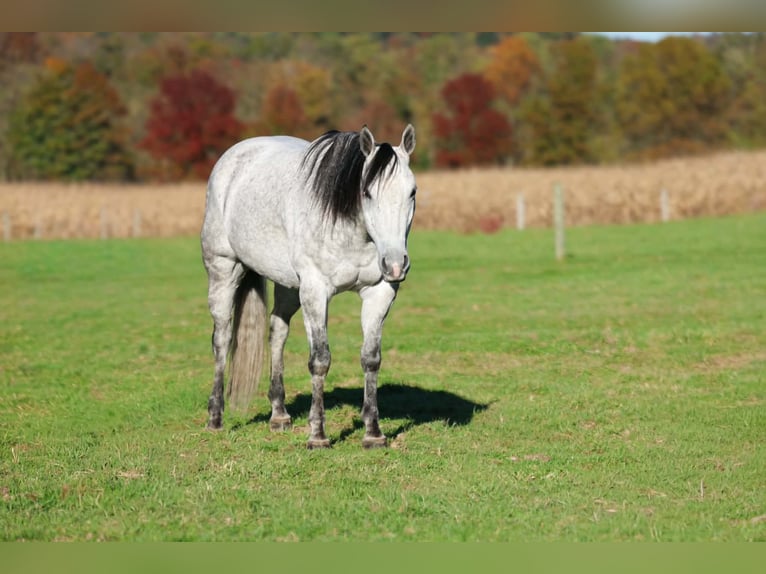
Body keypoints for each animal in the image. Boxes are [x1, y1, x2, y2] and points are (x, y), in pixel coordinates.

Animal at [201, 124, 417, 449]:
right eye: (366, 193)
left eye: (412, 192)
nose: (395, 264)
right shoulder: (315, 292)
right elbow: (320, 360)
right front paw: (318, 435)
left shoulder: (380, 292)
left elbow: (371, 358)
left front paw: (373, 433)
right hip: (223, 269)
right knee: (222, 339)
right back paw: (215, 419)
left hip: (289, 286)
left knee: (277, 333)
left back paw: (279, 415)